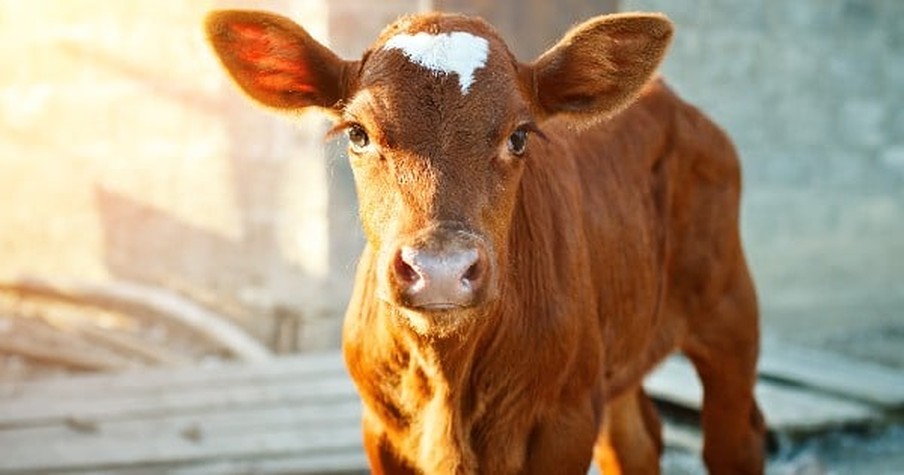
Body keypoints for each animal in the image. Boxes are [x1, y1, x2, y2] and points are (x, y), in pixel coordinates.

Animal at [208, 8, 768, 475]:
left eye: (519, 135)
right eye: (357, 133)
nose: (441, 269)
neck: (449, 378)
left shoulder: (564, 424)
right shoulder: (381, 429)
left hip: (730, 311)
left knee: (736, 440)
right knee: (635, 443)